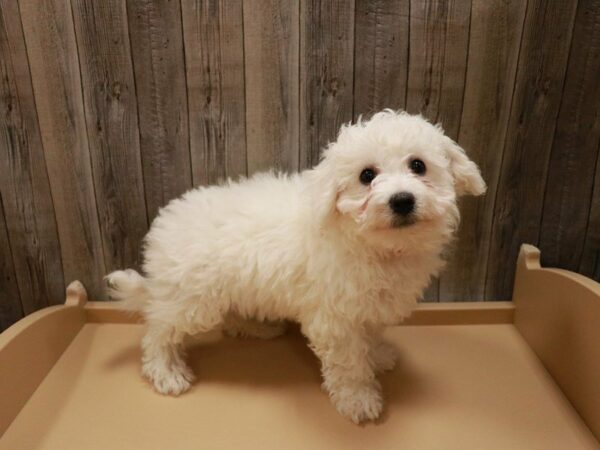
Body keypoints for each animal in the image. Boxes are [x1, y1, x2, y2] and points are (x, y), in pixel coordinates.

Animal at [105, 110, 486, 424]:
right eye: (367, 175)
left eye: (418, 166)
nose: (402, 200)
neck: (374, 246)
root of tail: (165, 225)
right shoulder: (336, 319)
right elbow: (350, 362)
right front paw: (359, 399)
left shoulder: (368, 305)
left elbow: (370, 336)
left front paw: (377, 355)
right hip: (191, 299)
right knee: (158, 329)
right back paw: (165, 371)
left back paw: (256, 328)